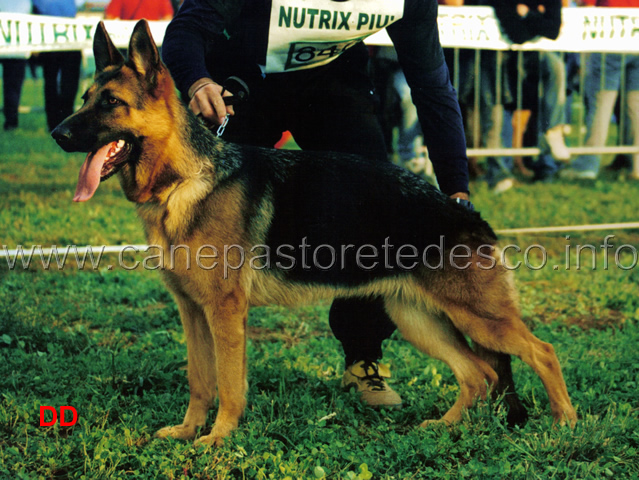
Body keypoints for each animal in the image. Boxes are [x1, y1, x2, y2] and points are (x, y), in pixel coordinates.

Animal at [52, 19, 576, 446]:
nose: (58, 133)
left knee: (542, 353)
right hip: (420, 319)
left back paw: (564, 424)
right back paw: (444, 427)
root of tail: (465, 212)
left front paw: (218, 438)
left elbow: (229, 385)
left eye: (111, 103)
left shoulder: (225, 313)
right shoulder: (192, 312)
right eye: (84, 100)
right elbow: (200, 380)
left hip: (478, 318)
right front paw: (187, 431)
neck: (184, 181)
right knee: (479, 373)